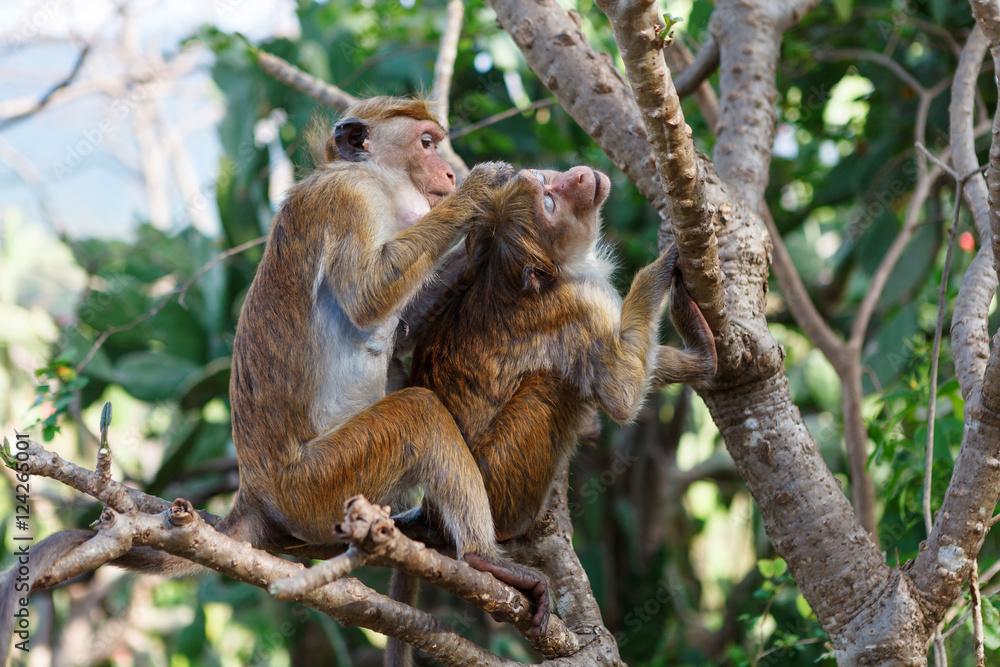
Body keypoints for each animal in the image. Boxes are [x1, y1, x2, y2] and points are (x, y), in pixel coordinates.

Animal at [0, 97, 547, 665]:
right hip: (319, 484)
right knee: (417, 410)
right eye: (425, 143)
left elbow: (396, 327)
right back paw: (484, 558)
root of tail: (257, 493)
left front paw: (484, 244)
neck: (371, 174)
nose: (448, 173)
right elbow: (368, 297)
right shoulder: (350, 200)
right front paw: (481, 191)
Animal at [385, 166, 716, 666]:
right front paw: (660, 272)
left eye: (546, 179)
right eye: (549, 203)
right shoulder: (578, 305)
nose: (578, 174)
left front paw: (699, 357)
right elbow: (618, 392)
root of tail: (429, 510)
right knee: (554, 385)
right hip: (498, 479)